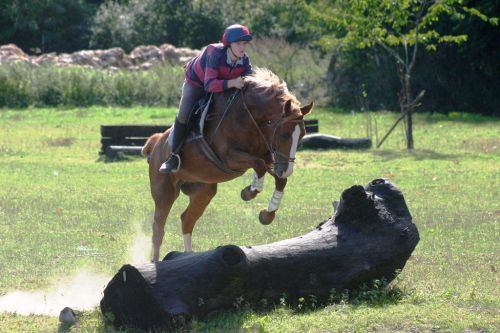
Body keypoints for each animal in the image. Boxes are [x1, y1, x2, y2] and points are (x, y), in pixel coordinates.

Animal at [142, 68, 312, 260]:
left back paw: (188, 256)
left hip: (204, 190)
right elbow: (259, 165)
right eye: (284, 134)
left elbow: (278, 178)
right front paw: (249, 192)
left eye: (302, 135)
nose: (287, 170)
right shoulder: (230, 157)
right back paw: (156, 262)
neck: (250, 116)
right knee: (158, 228)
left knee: (187, 219)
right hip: (165, 192)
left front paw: (267, 214)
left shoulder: (270, 158)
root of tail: (156, 142)